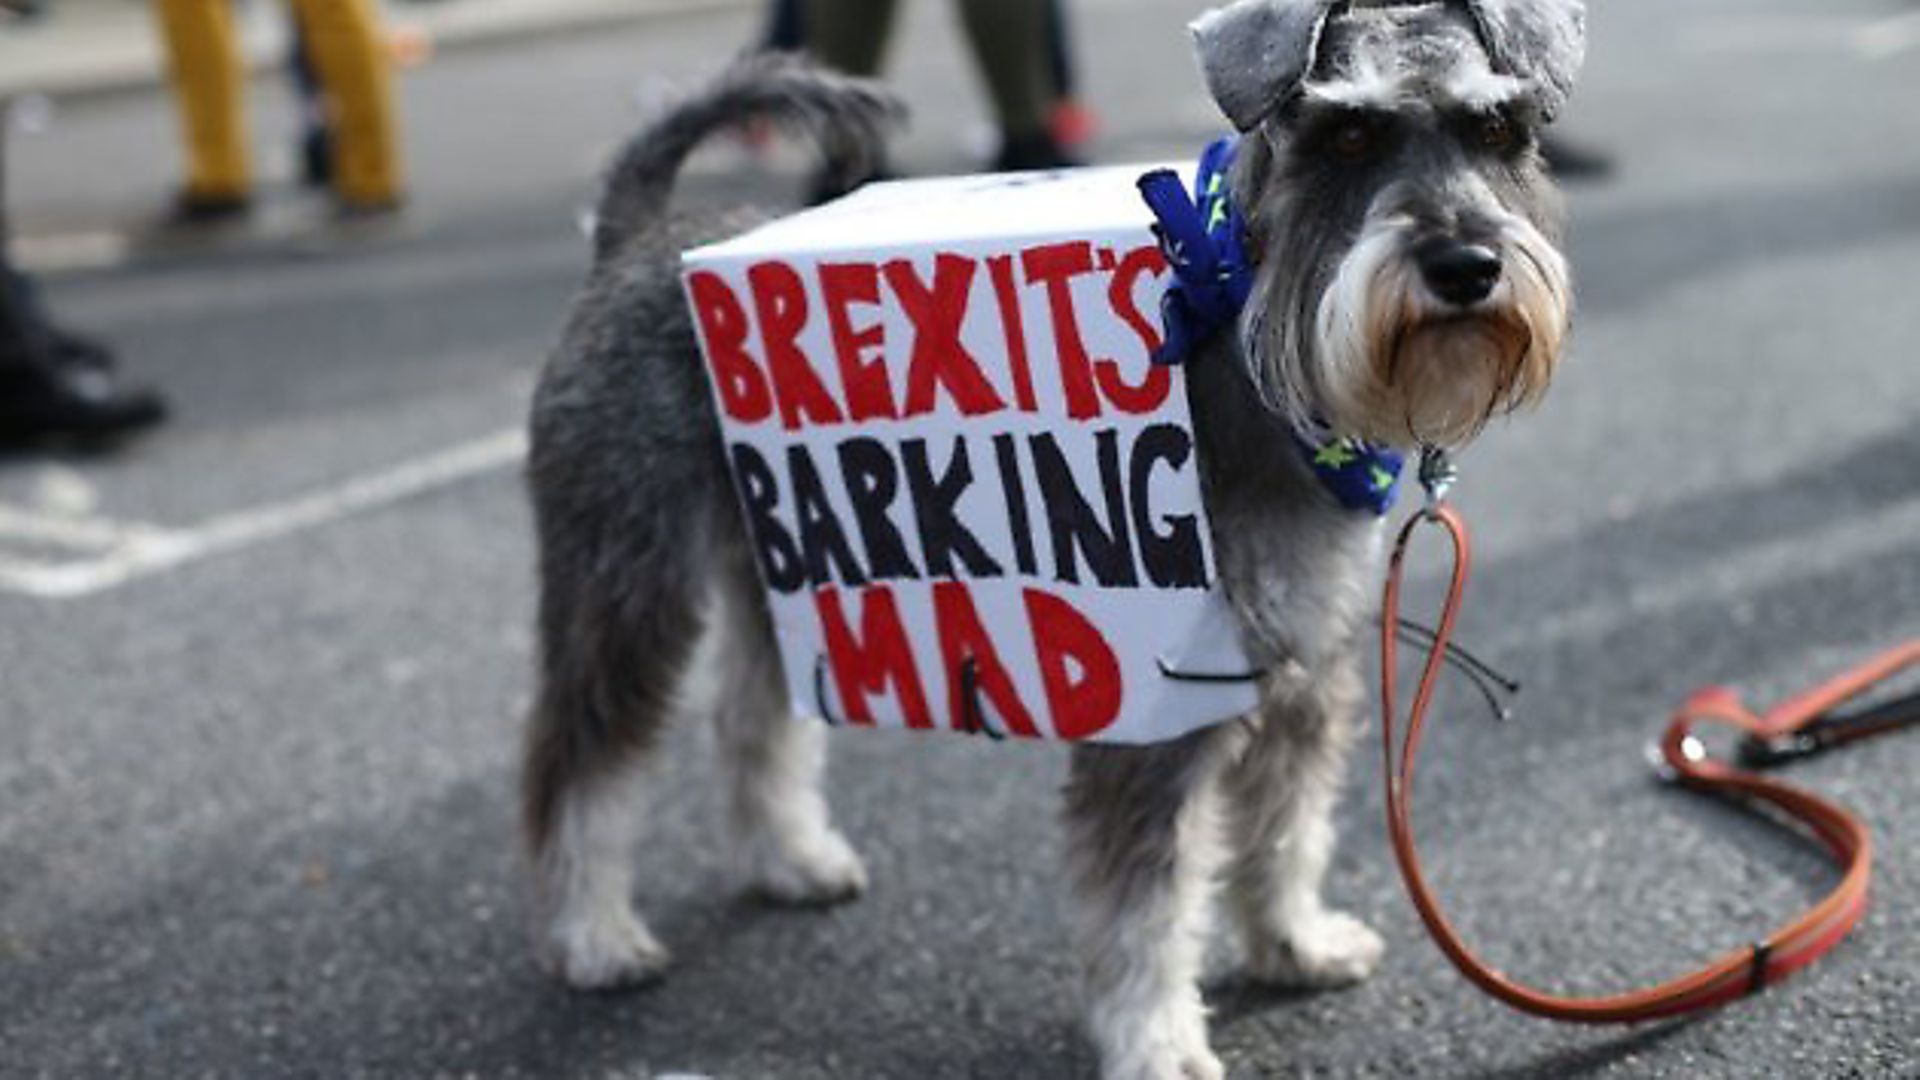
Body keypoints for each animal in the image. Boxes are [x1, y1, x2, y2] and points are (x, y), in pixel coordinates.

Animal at [522, 4, 1574, 1068]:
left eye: (1498, 129)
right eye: (1348, 135)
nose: (1465, 267)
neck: (1234, 314)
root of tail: (632, 236)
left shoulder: (1303, 661)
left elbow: (1285, 823)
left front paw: (1293, 943)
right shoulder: (1163, 701)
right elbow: (1148, 899)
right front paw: (1156, 1043)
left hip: (791, 552)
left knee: (752, 714)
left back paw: (788, 860)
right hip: (630, 571)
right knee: (582, 753)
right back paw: (593, 935)